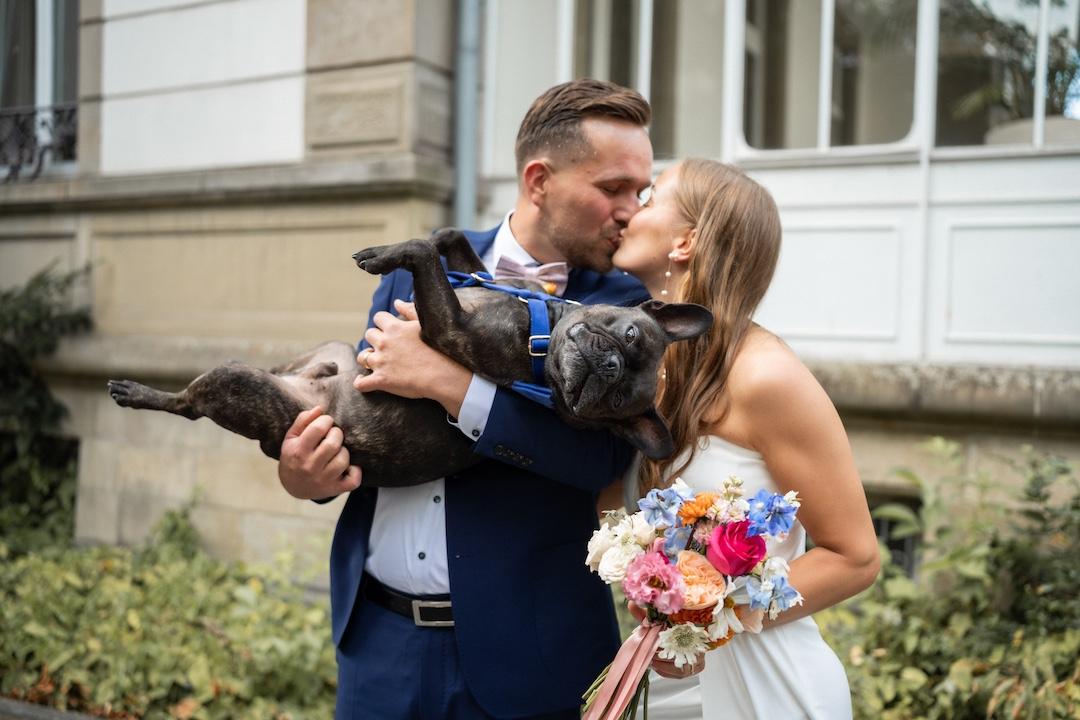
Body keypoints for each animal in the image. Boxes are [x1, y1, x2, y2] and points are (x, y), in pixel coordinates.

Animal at [107, 229, 712, 487]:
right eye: (629, 335)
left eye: (617, 400)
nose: (610, 369)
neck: (542, 333)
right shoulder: (480, 279)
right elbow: (449, 241)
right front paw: (418, 242)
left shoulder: (450, 330)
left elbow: (422, 254)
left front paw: (384, 255)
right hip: (326, 354)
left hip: (238, 386)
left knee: (189, 404)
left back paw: (138, 392)